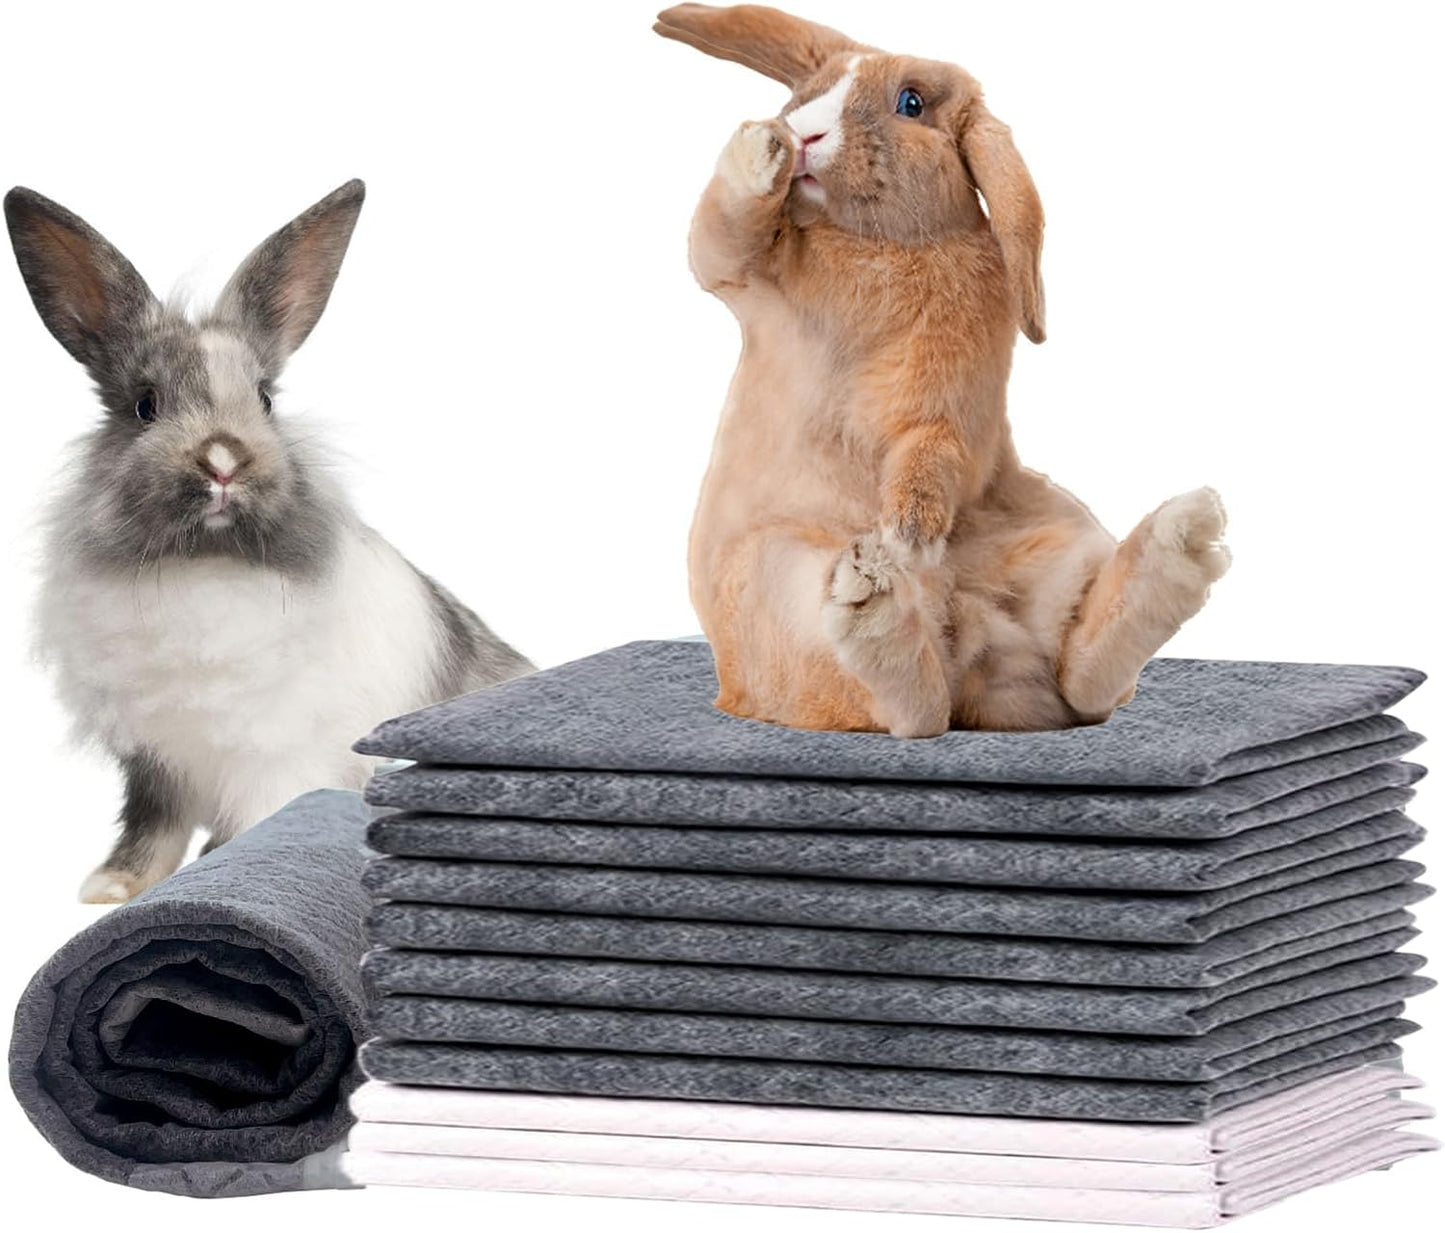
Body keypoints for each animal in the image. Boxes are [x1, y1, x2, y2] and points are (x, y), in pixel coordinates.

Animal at [4, 180, 534, 903]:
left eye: (264, 399)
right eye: (145, 405)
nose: (222, 460)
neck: (204, 567)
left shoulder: (277, 759)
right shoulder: (156, 760)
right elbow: (152, 825)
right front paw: (113, 887)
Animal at [655, 4, 1231, 737]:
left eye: (911, 103)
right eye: (806, 93)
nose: (803, 132)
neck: (881, 244)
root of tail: (978, 661)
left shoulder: (954, 408)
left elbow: (933, 450)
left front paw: (910, 531)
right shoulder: (746, 274)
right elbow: (718, 238)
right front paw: (762, 148)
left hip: (1062, 547)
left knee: (1070, 682)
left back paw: (1180, 540)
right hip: (772, 572)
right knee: (912, 709)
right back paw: (876, 591)